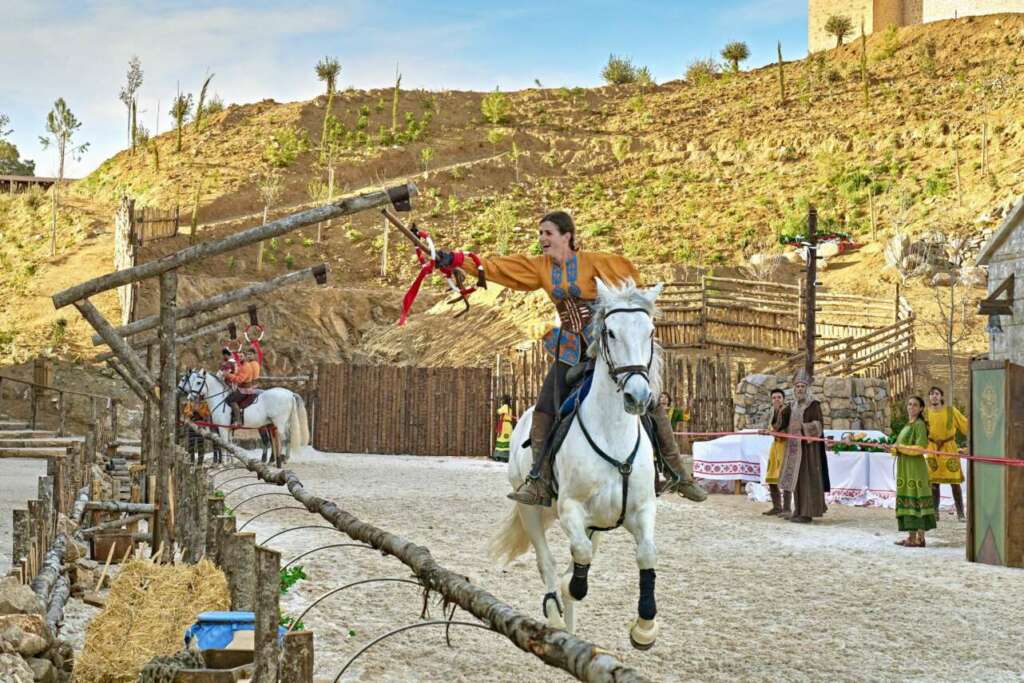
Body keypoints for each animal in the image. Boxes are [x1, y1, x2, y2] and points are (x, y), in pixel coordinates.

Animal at [179, 368, 307, 464]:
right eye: (192, 381)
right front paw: (228, 462)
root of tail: (289, 394)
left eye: (198, 382)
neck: (219, 398)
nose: (191, 397)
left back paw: (281, 459)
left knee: (282, 439)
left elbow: (222, 444)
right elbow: (228, 444)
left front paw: (222, 463)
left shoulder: (221, 428)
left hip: (278, 424)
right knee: (284, 438)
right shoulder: (226, 429)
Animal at [489, 278, 663, 651]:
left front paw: (644, 628)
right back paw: (555, 616)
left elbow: (647, 554)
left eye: (650, 331)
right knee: (548, 562)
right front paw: (573, 589)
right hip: (531, 510)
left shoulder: (640, 510)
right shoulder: (570, 508)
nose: (638, 397)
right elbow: (577, 557)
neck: (612, 434)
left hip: (598, 523)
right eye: (610, 332)